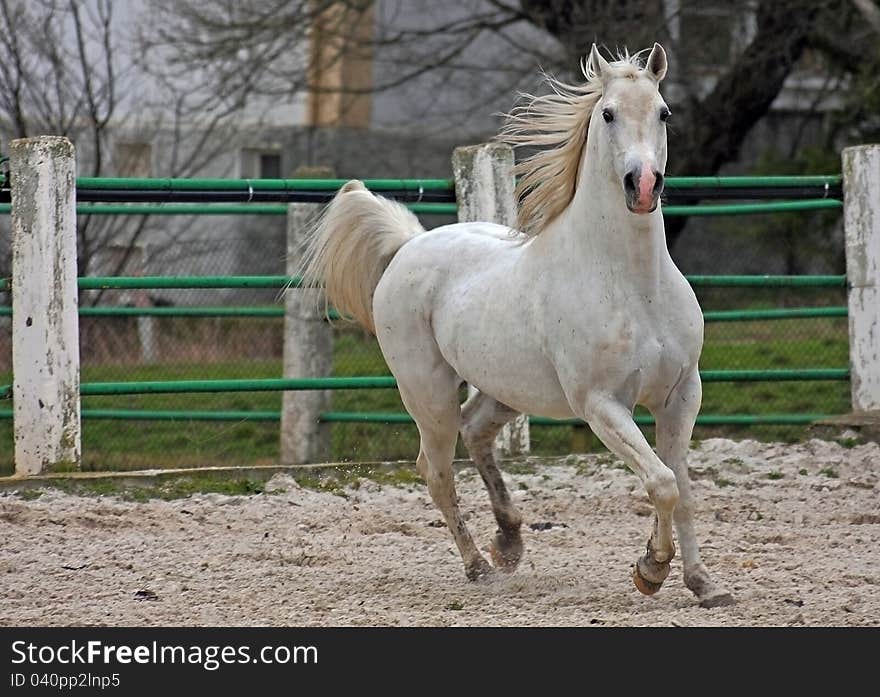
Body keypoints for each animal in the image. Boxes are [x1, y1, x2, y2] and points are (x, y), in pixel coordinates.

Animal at [302, 44, 736, 608]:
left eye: (663, 112)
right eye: (608, 113)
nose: (643, 186)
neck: (632, 283)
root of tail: (410, 245)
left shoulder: (682, 394)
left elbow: (681, 489)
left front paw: (705, 584)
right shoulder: (601, 404)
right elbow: (661, 482)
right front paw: (651, 569)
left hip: (505, 388)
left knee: (475, 431)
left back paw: (509, 540)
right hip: (428, 394)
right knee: (436, 472)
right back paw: (479, 567)